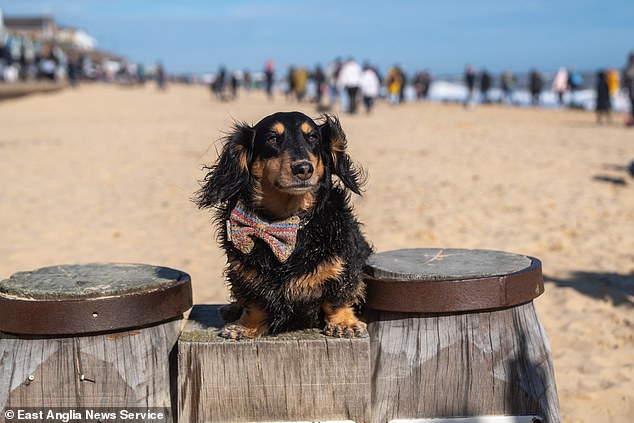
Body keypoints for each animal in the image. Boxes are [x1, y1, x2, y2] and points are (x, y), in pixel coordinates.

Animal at [196, 111, 370, 340]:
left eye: (313, 137)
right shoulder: (244, 272)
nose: (304, 169)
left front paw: (343, 323)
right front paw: (246, 326)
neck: (283, 223)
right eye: (272, 138)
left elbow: (338, 296)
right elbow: (254, 303)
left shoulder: (344, 264)